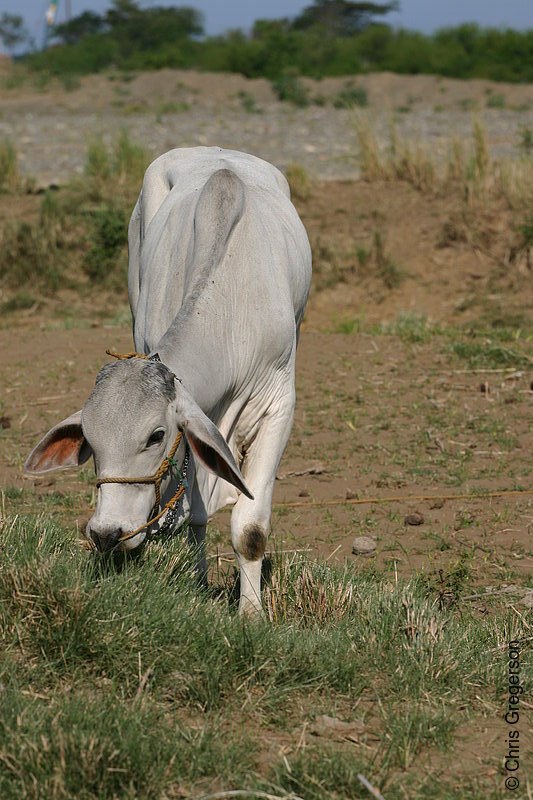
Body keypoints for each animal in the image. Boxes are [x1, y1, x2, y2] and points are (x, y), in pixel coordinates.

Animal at [25, 147, 312, 616]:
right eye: (90, 440)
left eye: (155, 435)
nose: (105, 533)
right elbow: (195, 515)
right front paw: (198, 587)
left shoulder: (277, 406)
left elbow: (250, 529)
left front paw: (251, 615)